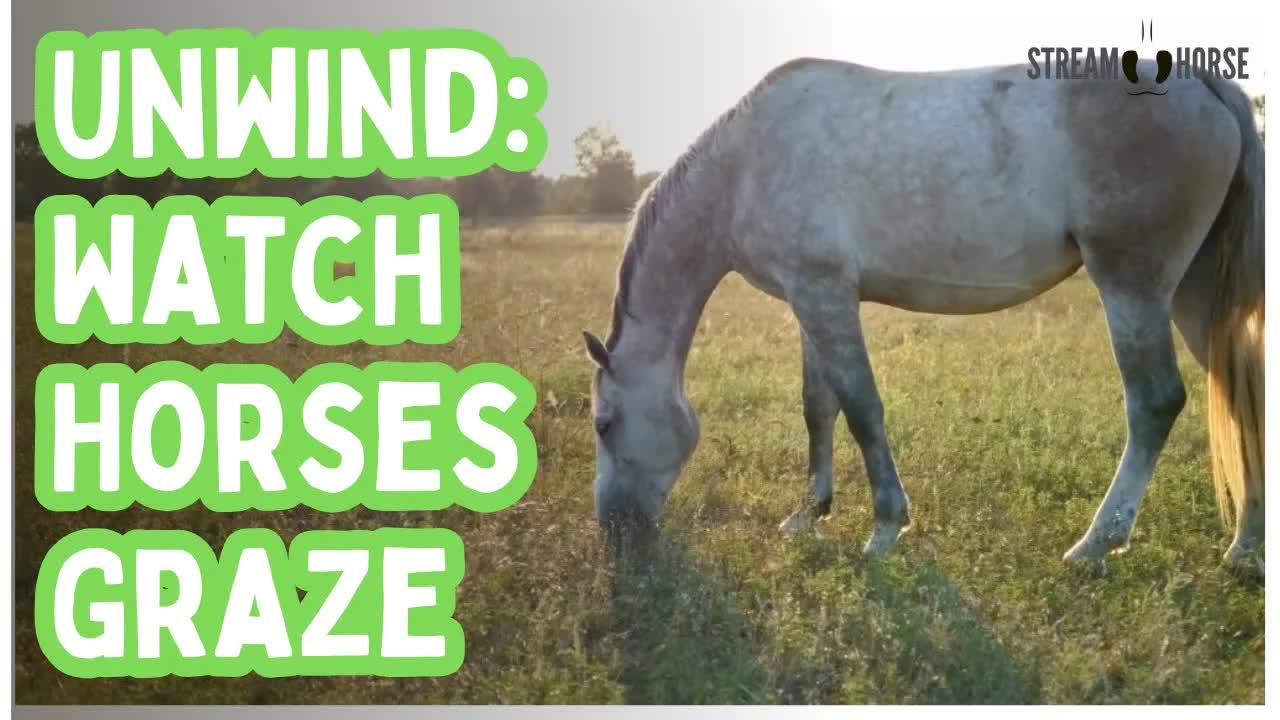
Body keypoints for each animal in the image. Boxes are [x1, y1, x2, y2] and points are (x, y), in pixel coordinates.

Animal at [583, 58, 1264, 576]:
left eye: (603, 424)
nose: (615, 530)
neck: (744, 166)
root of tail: (1201, 83)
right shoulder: (811, 299)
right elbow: (818, 408)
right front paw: (808, 514)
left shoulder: (826, 296)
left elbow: (861, 408)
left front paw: (885, 527)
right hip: (1195, 290)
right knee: (1242, 394)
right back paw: (1245, 550)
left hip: (1133, 288)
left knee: (1155, 403)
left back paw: (1096, 544)